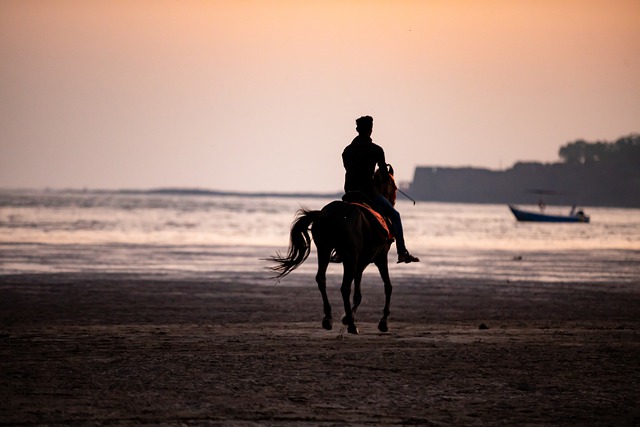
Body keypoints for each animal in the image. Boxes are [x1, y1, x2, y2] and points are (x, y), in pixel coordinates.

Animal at [268, 164, 398, 334]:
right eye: (395, 186)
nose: (393, 201)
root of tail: (327, 214)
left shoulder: (361, 262)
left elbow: (358, 294)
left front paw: (347, 316)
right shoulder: (379, 258)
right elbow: (387, 286)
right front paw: (382, 322)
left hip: (324, 250)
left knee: (321, 279)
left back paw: (328, 318)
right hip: (349, 256)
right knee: (345, 287)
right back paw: (351, 325)